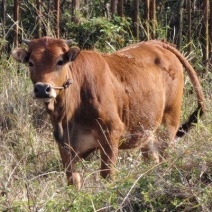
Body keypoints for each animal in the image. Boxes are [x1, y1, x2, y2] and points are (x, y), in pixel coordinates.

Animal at [12, 36, 205, 189]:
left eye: (60, 61)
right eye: (31, 62)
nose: (42, 89)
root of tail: (158, 43)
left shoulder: (111, 133)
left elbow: (107, 176)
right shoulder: (64, 143)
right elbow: (73, 180)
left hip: (169, 123)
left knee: (165, 158)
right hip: (147, 130)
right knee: (151, 159)